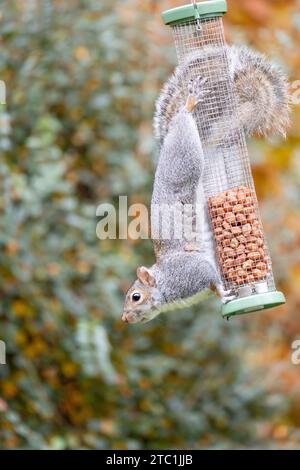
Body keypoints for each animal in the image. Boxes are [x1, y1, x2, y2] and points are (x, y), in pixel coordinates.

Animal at [122, 46, 290, 324]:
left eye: (136, 296)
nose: (124, 319)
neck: (165, 284)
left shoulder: (193, 272)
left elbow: (212, 280)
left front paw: (223, 295)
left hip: (186, 156)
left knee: (185, 120)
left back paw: (189, 103)